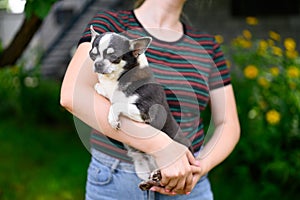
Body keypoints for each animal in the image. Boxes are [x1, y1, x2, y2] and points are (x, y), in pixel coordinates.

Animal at [89, 26, 192, 191]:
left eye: (114, 56)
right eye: (92, 54)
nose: (98, 64)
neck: (119, 78)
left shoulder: (145, 111)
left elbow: (118, 104)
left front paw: (113, 119)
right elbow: (109, 94)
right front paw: (102, 88)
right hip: (142, 167)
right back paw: (149, 182)